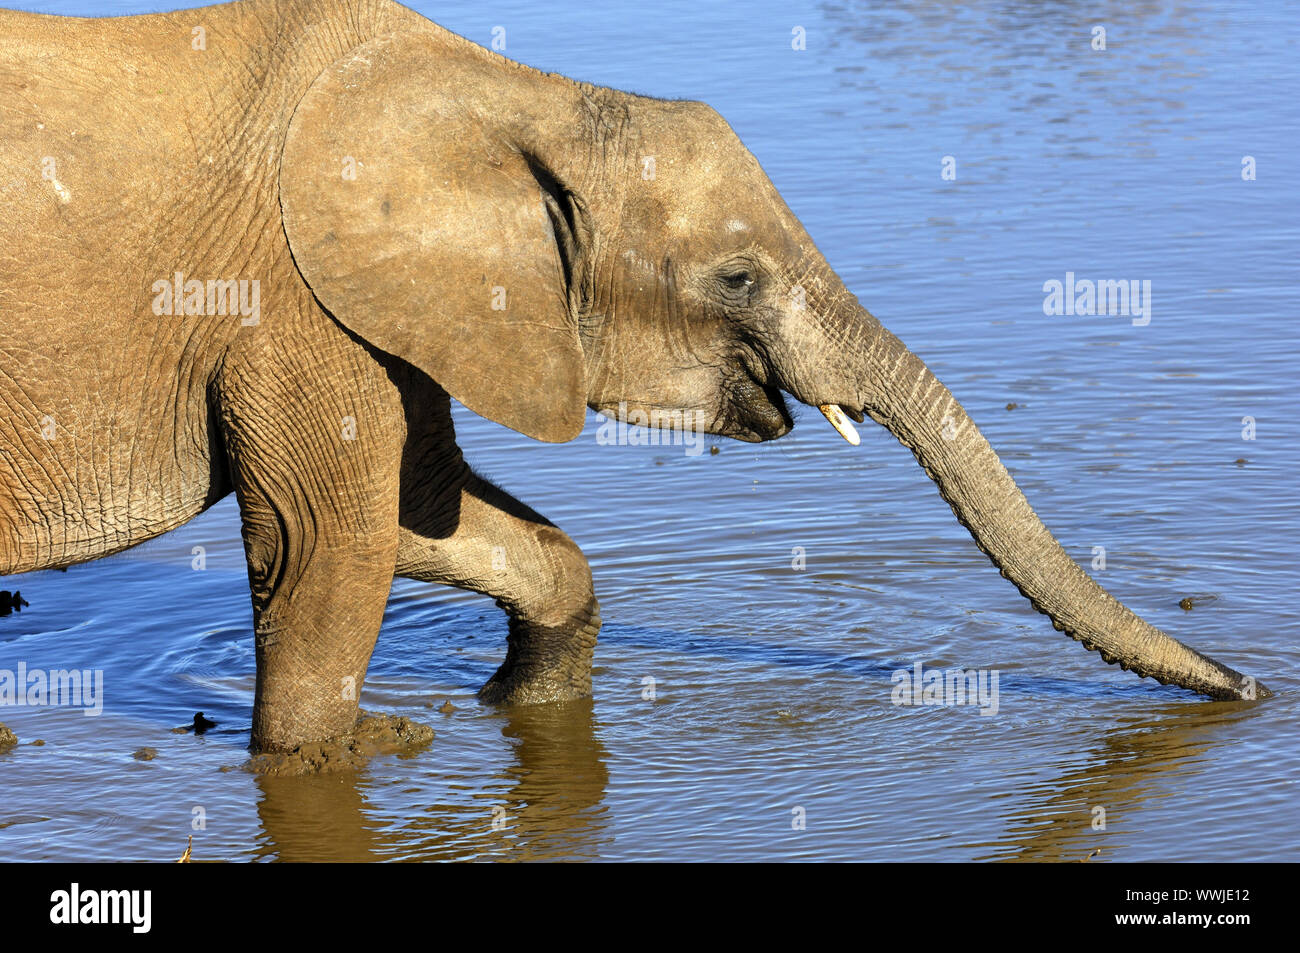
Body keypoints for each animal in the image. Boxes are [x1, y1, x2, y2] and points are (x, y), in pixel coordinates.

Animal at [0, 1, 1263, 759]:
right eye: (738, 276)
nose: (1257, 688)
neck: (519, 93)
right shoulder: (294, 305)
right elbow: (330, 541)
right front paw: (352, 754)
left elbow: (427, 510)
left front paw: (518, 706)